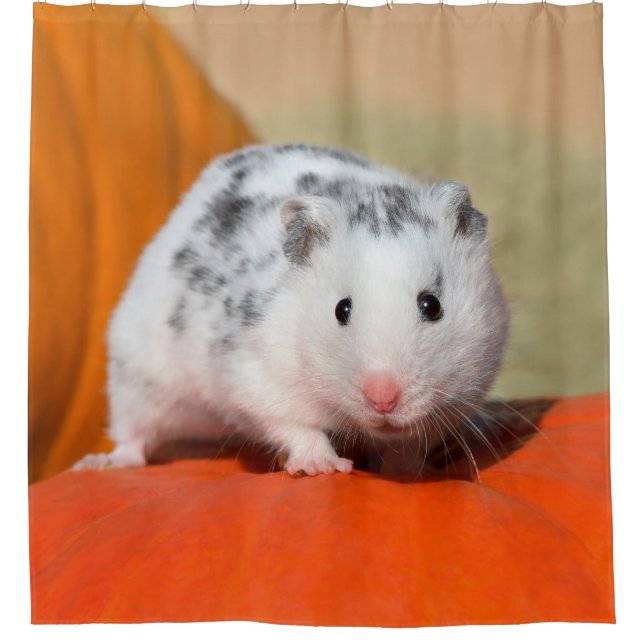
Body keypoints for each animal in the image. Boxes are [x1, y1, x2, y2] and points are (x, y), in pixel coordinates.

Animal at [73, 143, 509, 476]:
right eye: (341, 310)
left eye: (431, 305)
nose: (382, 400)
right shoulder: (260, 379)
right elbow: (296, 425)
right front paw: (324, 467)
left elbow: (411, 446)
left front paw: (408, 471)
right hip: (137, 377)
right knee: (133, 435)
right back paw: (99, 463)